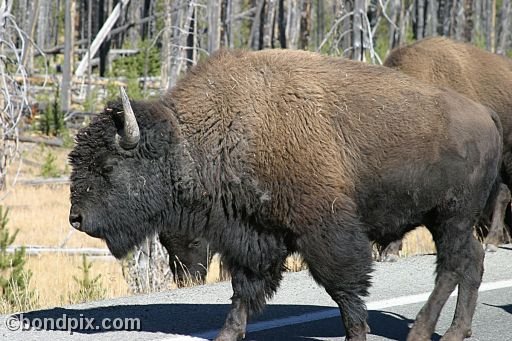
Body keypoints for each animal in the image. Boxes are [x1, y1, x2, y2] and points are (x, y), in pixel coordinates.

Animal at [67, 49, 500, 338]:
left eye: (108, 167)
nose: (76, 217)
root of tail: (487, 116)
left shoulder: (326, 232)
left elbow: (346, 289)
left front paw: (356, 334)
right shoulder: (254, 235)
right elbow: (244, 294)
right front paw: (227, 335)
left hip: (451, 216)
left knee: (452, 266)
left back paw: (421, 332)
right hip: (449, 220)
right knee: (471, 262)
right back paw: (455, 332)